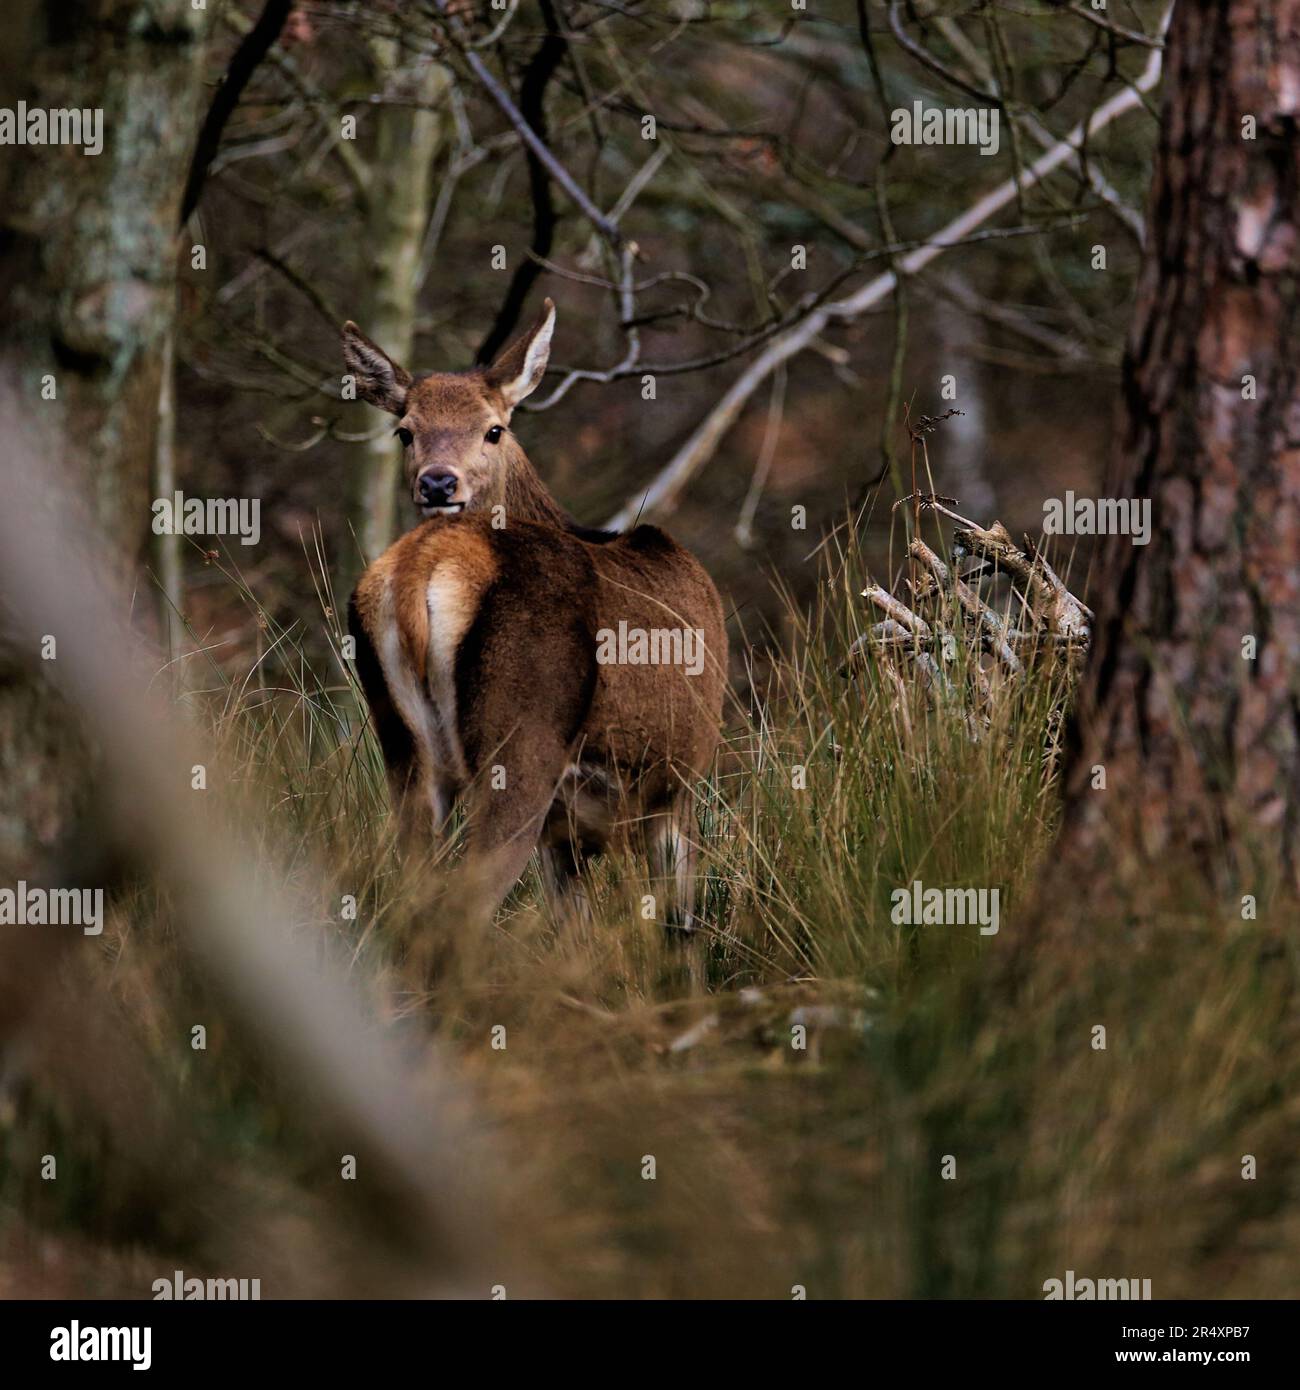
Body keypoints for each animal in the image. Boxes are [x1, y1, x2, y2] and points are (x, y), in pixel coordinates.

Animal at [346, 301, 728, 934]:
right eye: (406, 431)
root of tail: (422, 568)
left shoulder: (566, 828)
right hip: (521, 745)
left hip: (404, 753)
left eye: (493, 428)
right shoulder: (679, 776)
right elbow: (681, 928)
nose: (437, 482)